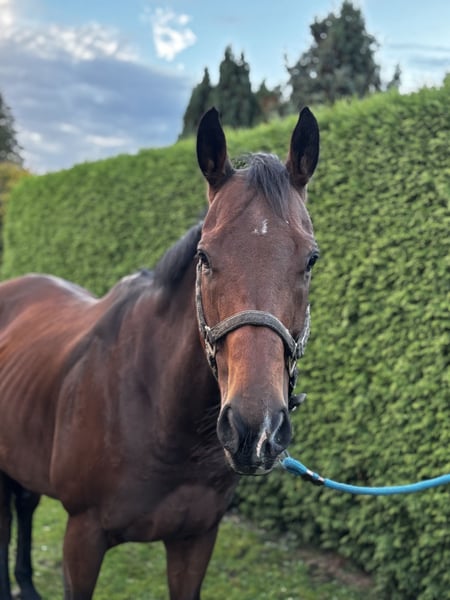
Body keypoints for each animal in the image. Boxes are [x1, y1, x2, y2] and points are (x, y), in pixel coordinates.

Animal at [0, 106, 320, 599]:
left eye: (310, 260)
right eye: (204, 256)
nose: (256, 429)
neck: (160, 413)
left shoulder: (196, 540)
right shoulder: (81, 539)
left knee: (24, 504)